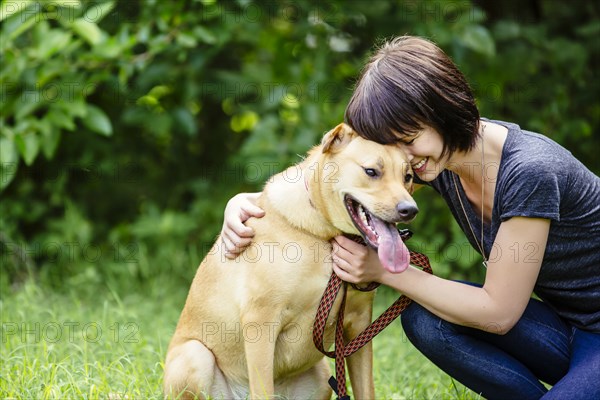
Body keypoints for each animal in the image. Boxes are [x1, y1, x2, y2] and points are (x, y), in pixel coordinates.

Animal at [163, 123, 418, 398]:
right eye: (371, 171)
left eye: (408, 176)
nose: (410, 210)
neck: (324, 236)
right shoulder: (260, 322)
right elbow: (262, 389)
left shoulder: (358, 327)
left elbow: (366, 389)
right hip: (195, 356)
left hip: (322, 375)